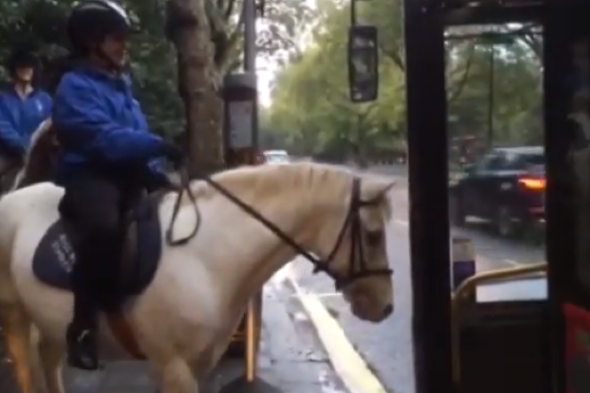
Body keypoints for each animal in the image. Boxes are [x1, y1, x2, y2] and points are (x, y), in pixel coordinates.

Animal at [0, 152, 398, 392]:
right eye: (373, 235)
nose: (386, 307)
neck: (205, 256)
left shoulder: (198, 365)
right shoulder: (174, 367)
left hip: (49, 321)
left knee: (48, 361)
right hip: (15, 314)